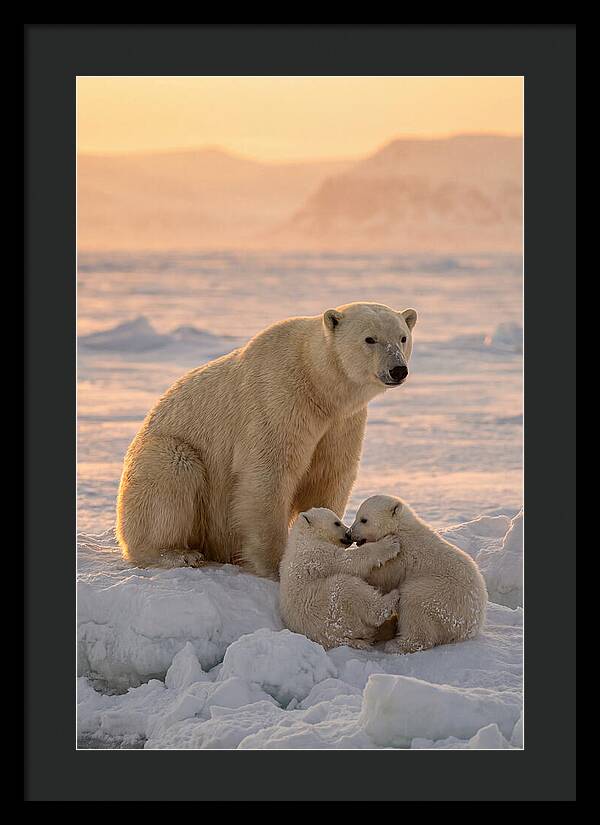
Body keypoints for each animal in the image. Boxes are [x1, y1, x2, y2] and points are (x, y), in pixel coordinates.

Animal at [116, 302, 417, 578]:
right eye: (370, 338)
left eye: (402, 337)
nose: (398, 370)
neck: (318, 384)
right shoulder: (278, 400)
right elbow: (269, 474)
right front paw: (276, 565)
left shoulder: (341, 423)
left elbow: (329, 474)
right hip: (163, 453)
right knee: (172, 472)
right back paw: (178, 554)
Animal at [279, 507, 402, 650]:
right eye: (337, 523)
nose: (348, 534)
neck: (304, 537)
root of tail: (340, 638)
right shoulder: (318, 554)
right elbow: (348, 561)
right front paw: (390, 543)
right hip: (329, 607)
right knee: (349, 589)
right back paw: (393, 597)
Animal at [350, 495, 488, 654]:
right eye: (357, 516)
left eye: (364, 519)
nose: (349, 533)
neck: (400, 528)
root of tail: (470, 627)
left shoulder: (400, 558)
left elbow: (381, 577)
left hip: (440, 596)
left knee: (414, 603)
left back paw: (396, 645)